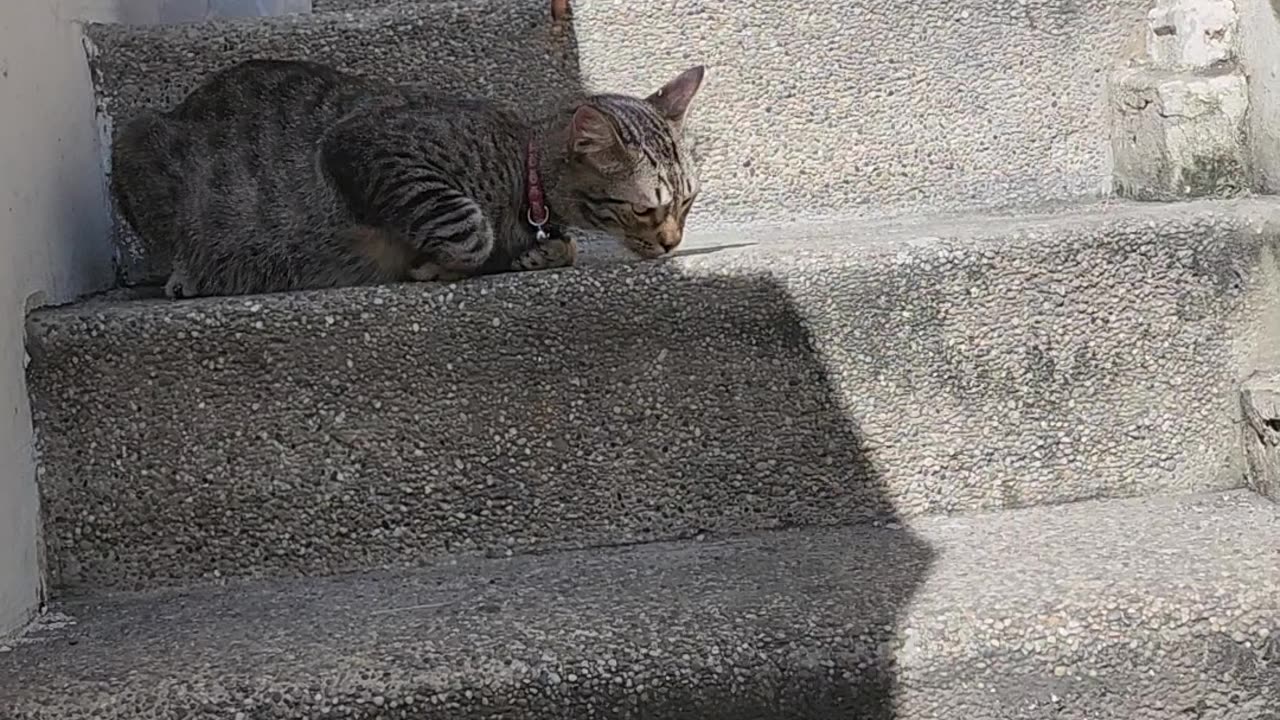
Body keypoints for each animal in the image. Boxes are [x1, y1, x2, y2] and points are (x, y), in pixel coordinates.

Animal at [107, 56, 711, 299]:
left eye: (687, 203)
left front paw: (542, 252)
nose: (672, 243)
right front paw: (437, 266)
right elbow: (467, 229)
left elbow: (562, 246)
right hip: (132, 139)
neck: (522, 175)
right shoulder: (365, 143)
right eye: (646, 208)